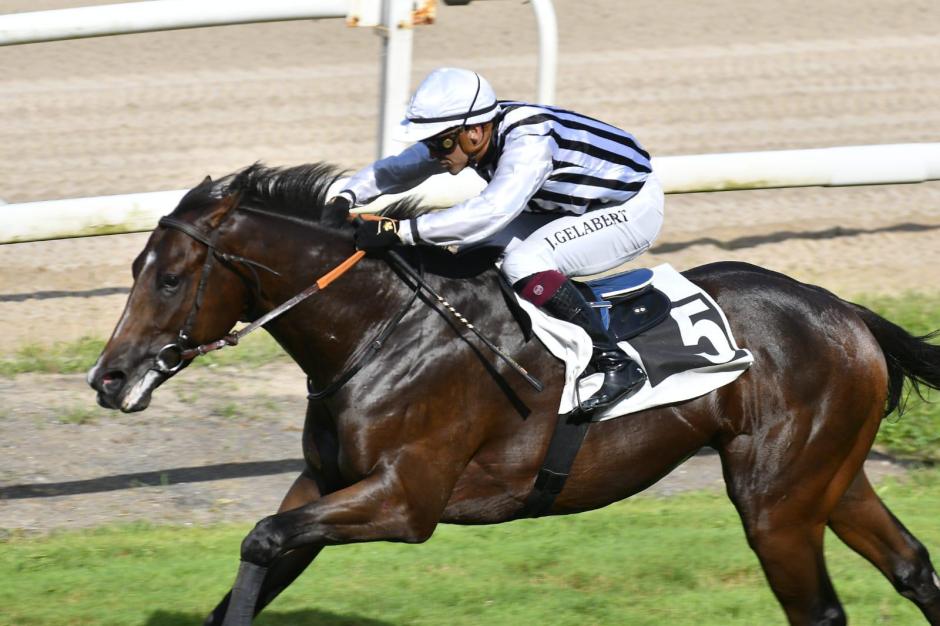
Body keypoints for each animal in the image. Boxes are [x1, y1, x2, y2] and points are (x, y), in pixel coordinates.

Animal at [90, 165, 940, 624]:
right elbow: (262, 552)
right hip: (830, 476)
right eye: (134, 268)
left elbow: (263, 537)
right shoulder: (326, 483)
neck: (380, 332)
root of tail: (847, 312)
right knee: (911, 567)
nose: (107, 379)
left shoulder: (406, 501)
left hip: (776, 501)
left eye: (171, 278)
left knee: (820, 608)